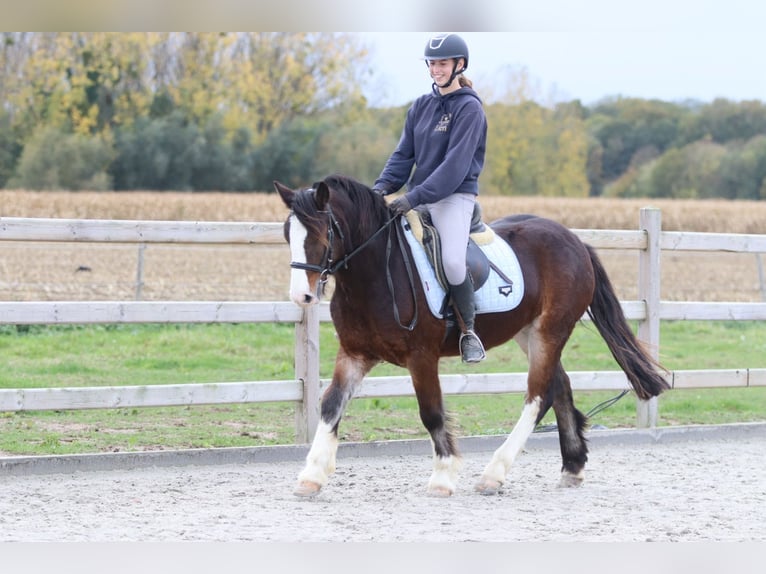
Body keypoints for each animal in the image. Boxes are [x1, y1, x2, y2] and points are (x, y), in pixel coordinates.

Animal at [275, 174, 670, 497]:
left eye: (322, 233)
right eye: (288, 234)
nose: (301, 296)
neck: (377, 273)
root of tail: (575, 241)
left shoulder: (421, 356)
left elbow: (431, 412)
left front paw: (443, 477)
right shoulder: (355, 353)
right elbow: (331, 404)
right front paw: (311, 475)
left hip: (551, 331)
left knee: (538, 396)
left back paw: (494, 474)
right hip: (529, 333)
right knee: (560, 386)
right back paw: (572, 466)